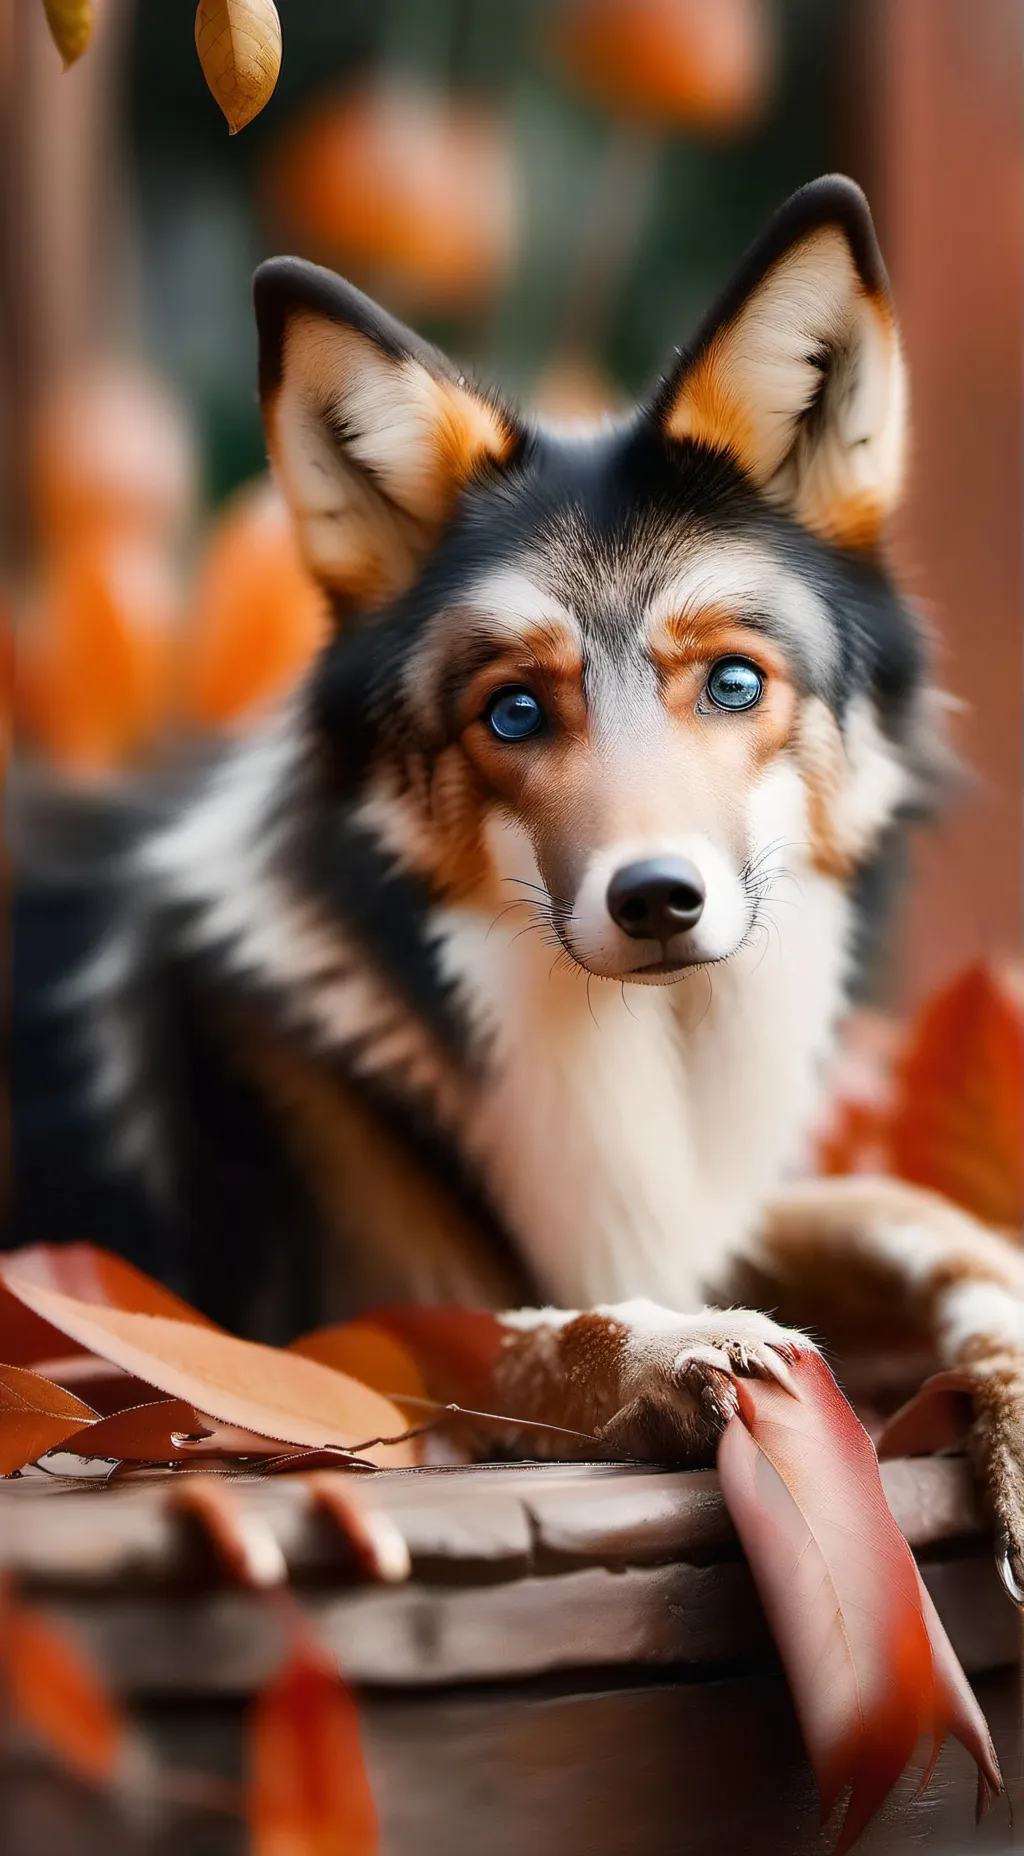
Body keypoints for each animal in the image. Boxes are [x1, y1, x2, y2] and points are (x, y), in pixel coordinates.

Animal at [26, 178, 1024, 1574]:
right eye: (512, 712)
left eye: (732, 682)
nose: (655, 898)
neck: (636, 1052)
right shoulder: (321, 1319)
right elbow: (534, 1330)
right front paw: (680, 1350)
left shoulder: (697, 1201)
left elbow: (921, 1211)